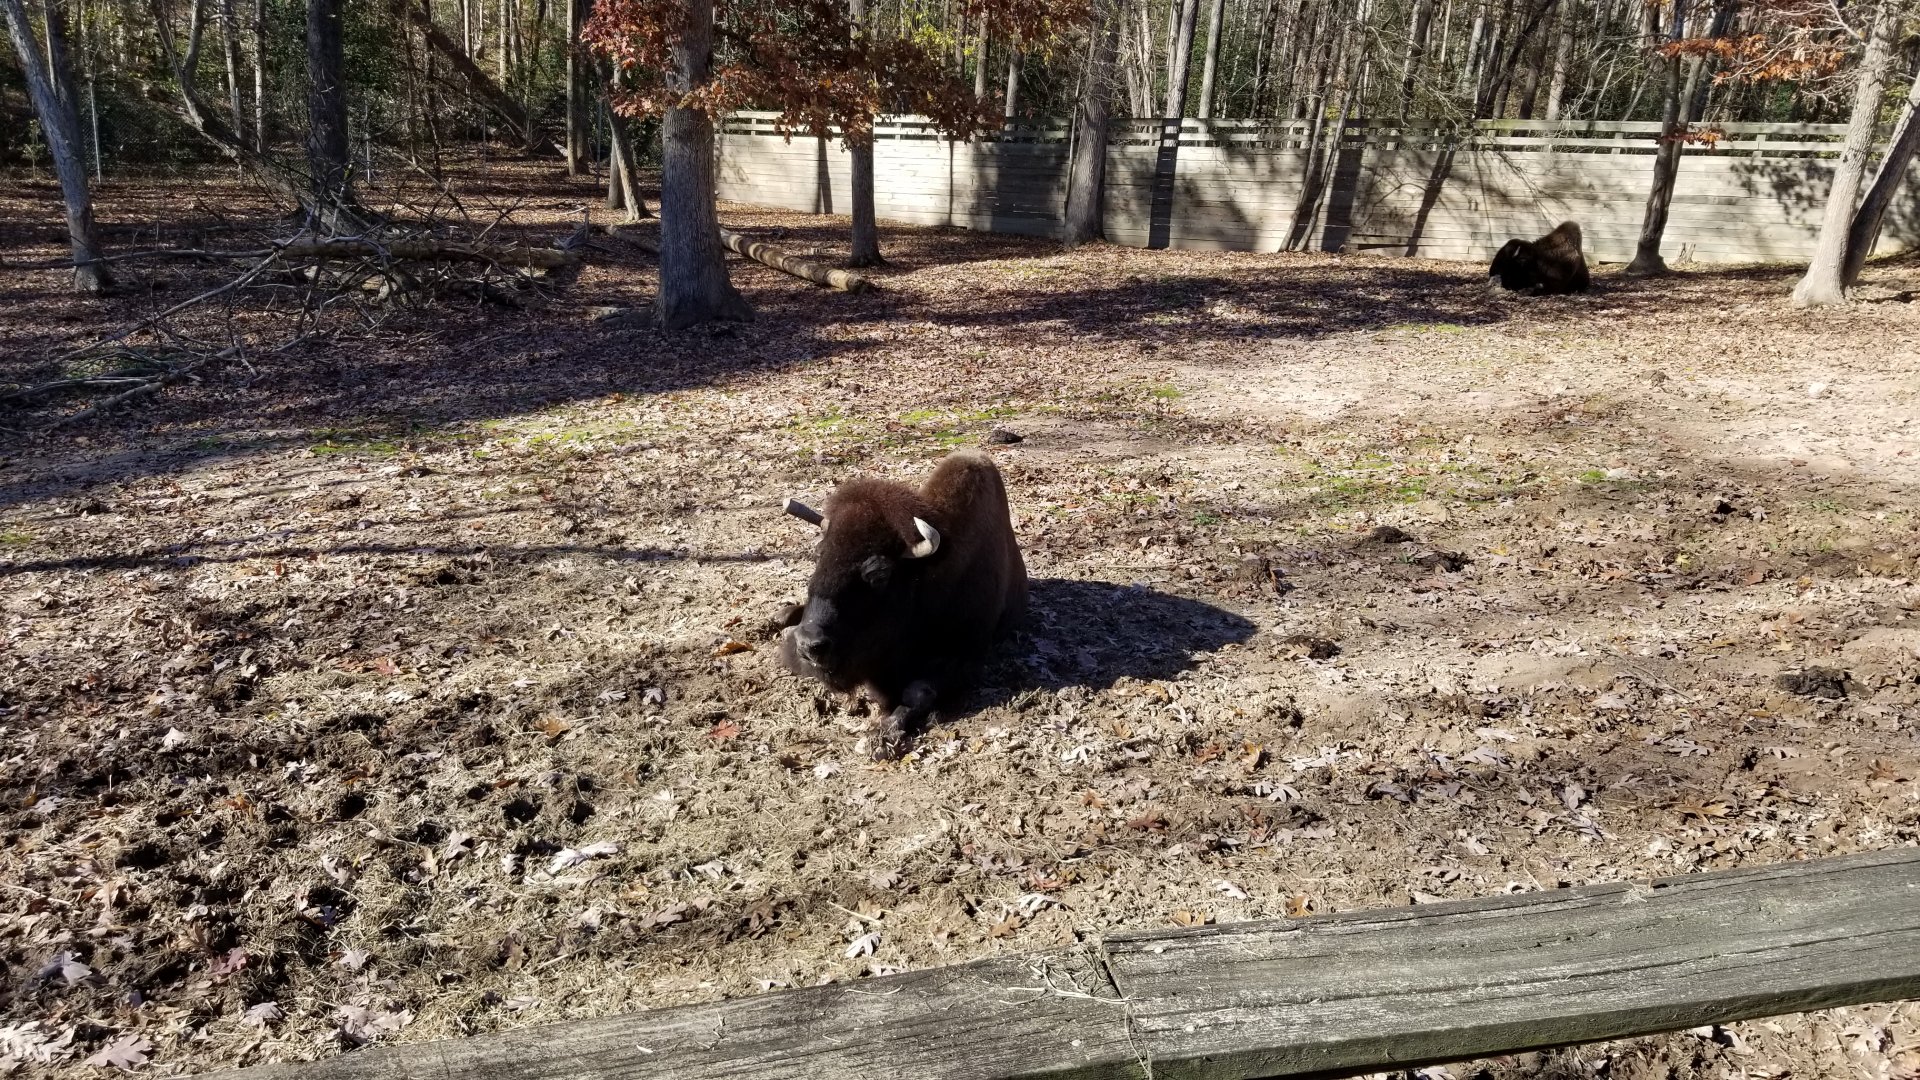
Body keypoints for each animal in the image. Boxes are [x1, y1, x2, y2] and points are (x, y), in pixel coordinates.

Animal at [779, 450, 1027, 760]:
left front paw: (883, 737)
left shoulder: (964, 656)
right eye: (818, 555)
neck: (926, 577)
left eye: (879, 573)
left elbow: (918, 692)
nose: (809, 645)